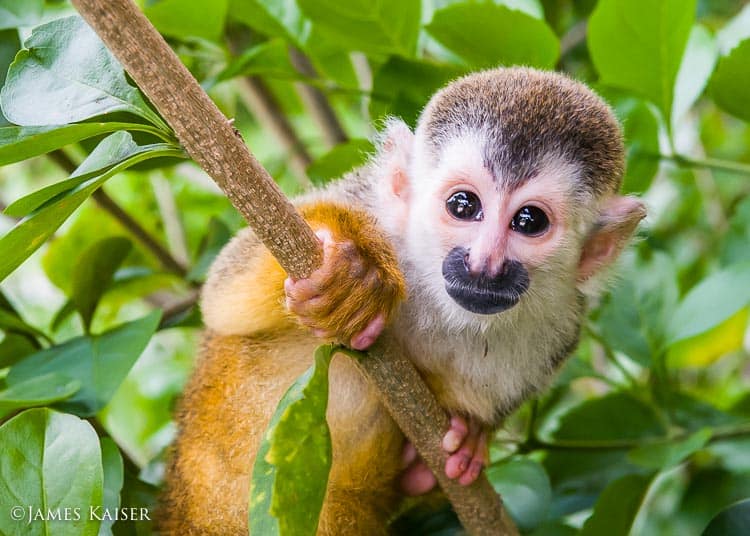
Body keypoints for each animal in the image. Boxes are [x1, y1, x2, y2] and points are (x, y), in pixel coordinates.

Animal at [159, 66, 648, 532]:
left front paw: (470, 439)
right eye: (463, 205)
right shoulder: (371, 205)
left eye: (529, 221)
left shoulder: (560, 331)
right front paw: (352, 270)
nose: (484, 264)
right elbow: (223, 293)